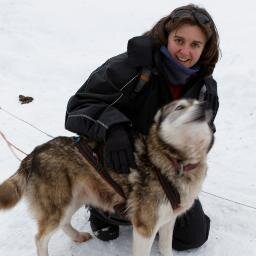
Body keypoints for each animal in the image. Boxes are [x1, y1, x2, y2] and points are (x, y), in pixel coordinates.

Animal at [0, 99, 212, 255]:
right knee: (40, 238)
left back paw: (78, 236)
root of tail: (34, 154)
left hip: (74, 199)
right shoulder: (145, 227)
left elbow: (166, 248)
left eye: (198, 101)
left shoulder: (168, 221)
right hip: (59, 206)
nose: (204, 105)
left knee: (64, 223)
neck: (173, 159)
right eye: (180, 107)